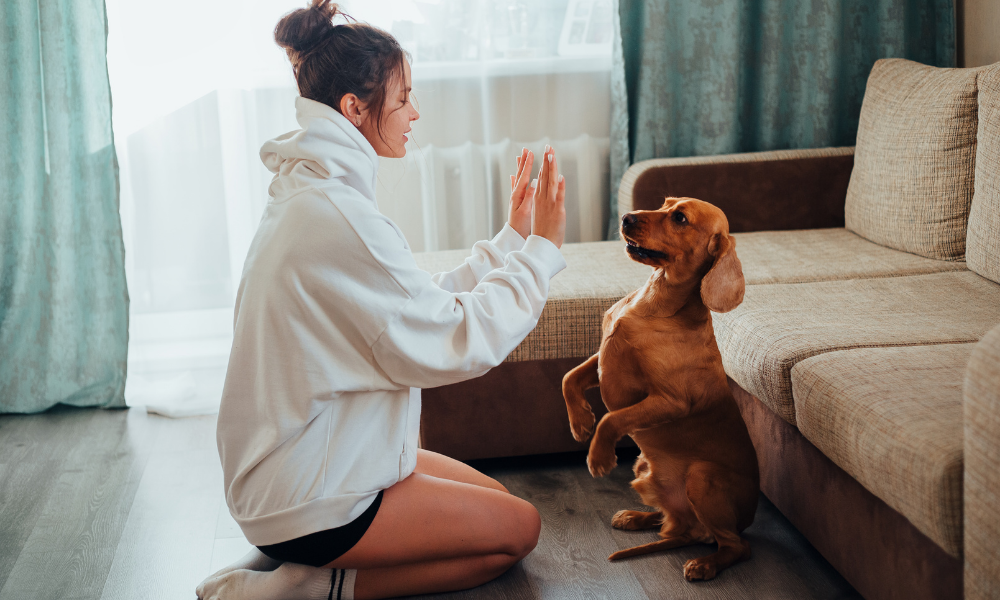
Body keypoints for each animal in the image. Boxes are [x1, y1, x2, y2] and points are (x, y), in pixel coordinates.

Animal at [564, 197, 756, 580]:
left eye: (680, 218)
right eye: (664, 204)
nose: (626, 217)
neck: (654, 301)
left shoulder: (670, 401)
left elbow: (612, 419)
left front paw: (599, 457)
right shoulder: (602, 360)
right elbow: (569, 378)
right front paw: (579, 422)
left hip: (701, 476)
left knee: (735, 546)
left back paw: (705, 564)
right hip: (645, 470)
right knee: (673, 523)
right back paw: (636, 517)